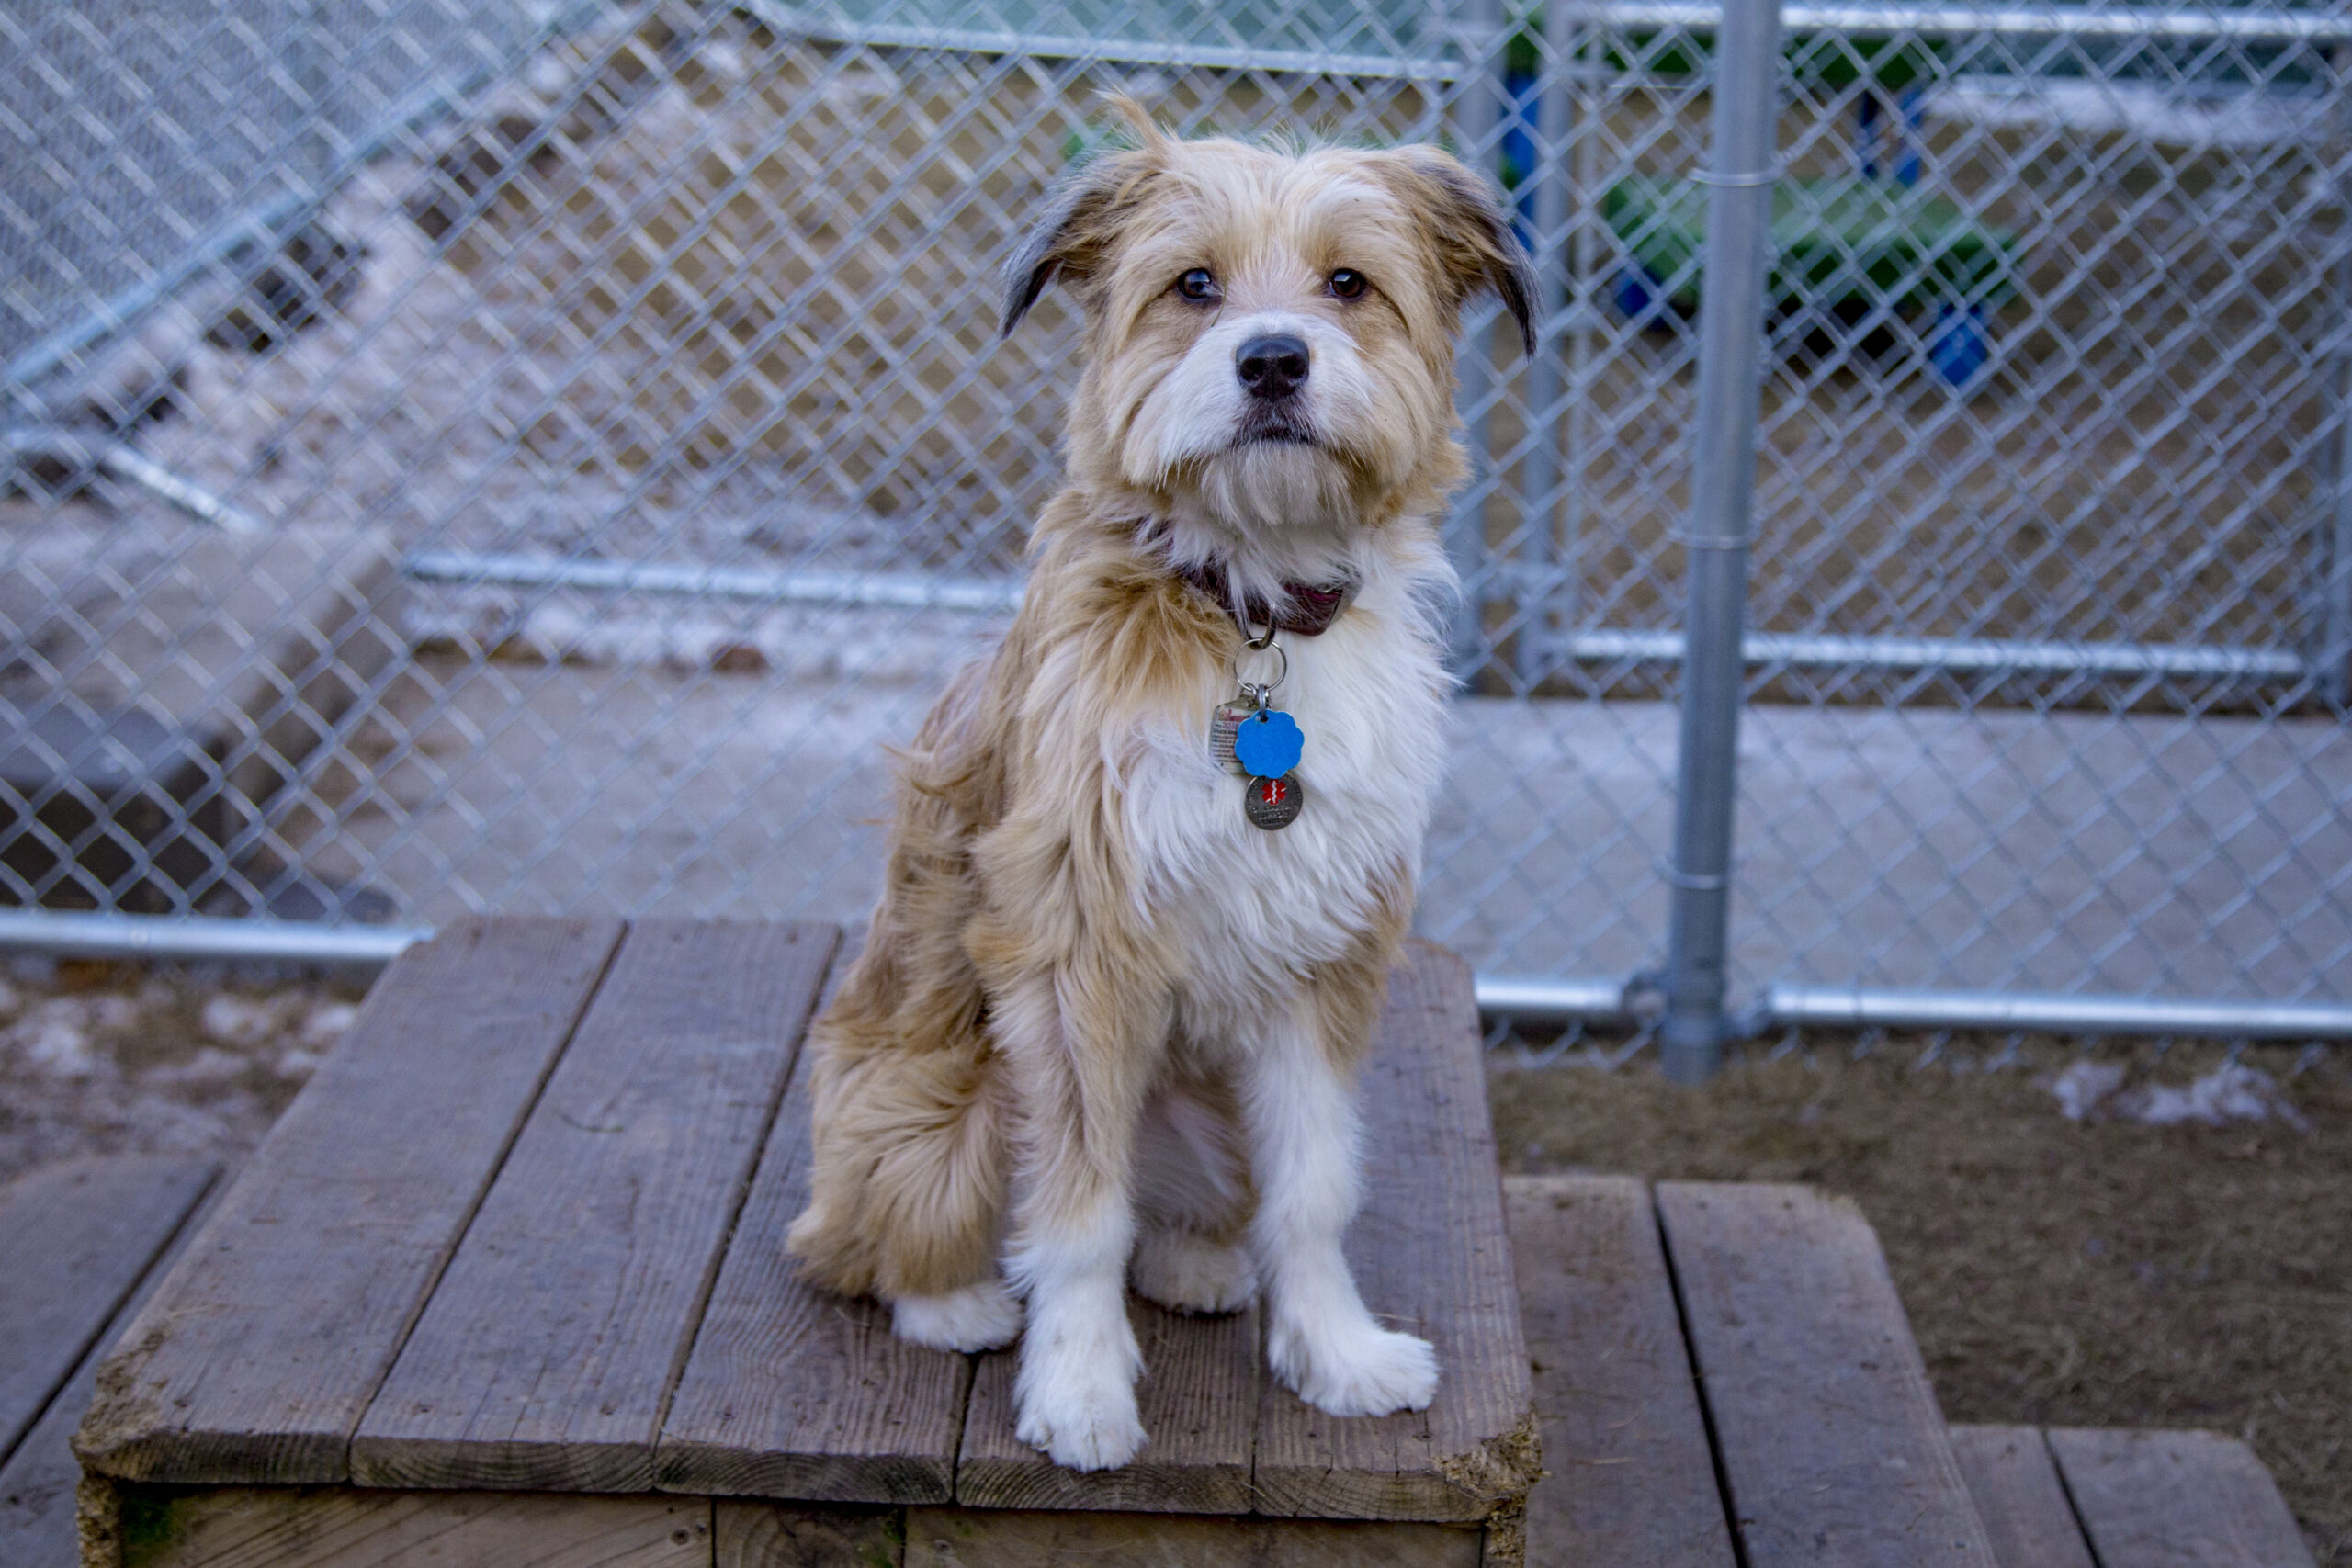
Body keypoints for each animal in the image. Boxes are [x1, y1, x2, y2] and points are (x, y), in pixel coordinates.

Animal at [786, 99, 1533, 1472]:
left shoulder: (1323, 951)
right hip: (945, 1098)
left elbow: (1312, 1189)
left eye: (1349, 285)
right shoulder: (1080, 949)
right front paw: (1078, 1387)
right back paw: (957, 1300)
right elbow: (1079, 1211)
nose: (1275, 361)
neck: (1250, 608)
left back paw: (1196, 1264)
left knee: (1190, 1209)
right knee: (869, 1237)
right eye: (1193, 285)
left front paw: (1334, 1350)